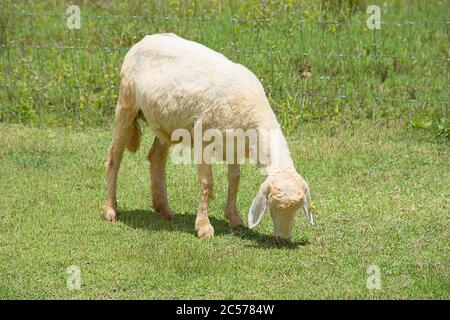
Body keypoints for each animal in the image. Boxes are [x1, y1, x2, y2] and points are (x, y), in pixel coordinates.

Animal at [103, 33, 312, 241]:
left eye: (298, 209)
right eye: (272, 205)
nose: (283, 240)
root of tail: (144, 39)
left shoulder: (234, 147)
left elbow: (235, 181)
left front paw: (234, 218)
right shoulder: (203, 139)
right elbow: (207, 184)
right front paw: (204, 227)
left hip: (164, 122)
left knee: (156, 158)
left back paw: (164, 209)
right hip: (126, 103)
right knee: (114, 157)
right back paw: (110, 209)